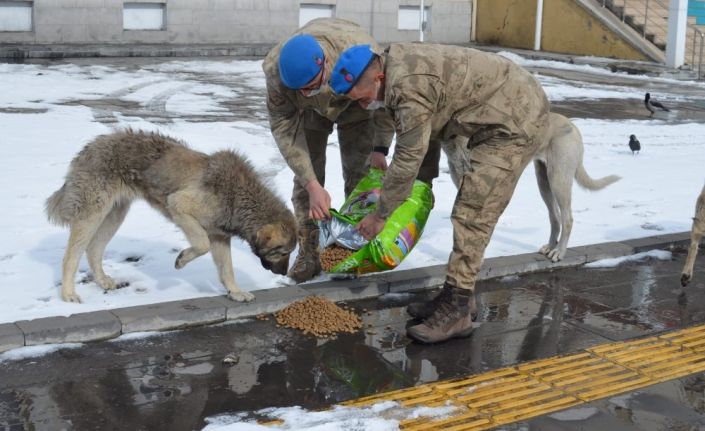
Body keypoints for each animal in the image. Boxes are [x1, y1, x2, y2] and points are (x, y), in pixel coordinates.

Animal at [46, 130, 294, 302]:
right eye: (281, 252)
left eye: (290, 253)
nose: (286, 274)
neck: (238, 197)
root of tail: (89, 147)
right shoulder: (179, 205)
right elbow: (201, 244)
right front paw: (181, 260)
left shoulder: (220, 236)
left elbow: (227, 270)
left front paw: (235, 292)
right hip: (92, 215)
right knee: (71, 257)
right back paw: (68, 294)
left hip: (115, 215)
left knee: (94, 249)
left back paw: (103, 281)